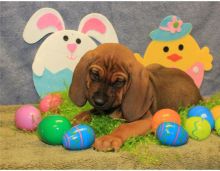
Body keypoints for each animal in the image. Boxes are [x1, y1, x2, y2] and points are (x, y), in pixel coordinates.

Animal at [69, 42, 203, 151]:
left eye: (119, 82)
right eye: (95, 74)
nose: (99, 101)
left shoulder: (148, 120)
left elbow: (125, 127)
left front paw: (110, 138)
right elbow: (88, 112)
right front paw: (75, 119)